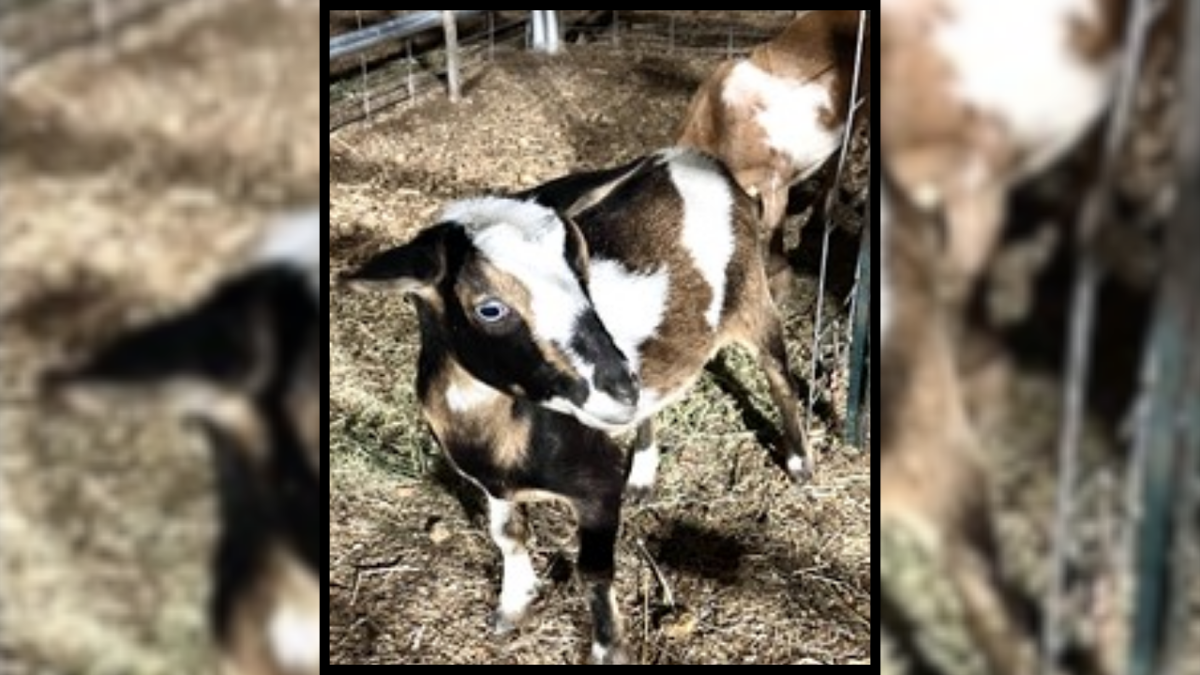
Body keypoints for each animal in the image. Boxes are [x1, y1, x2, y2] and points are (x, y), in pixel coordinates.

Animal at [336, 147, 806, 662]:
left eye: (583, 278)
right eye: (490, 308)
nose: (619, 387)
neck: (494, 436)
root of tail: (693, 155)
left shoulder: (595, 485)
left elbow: (593, 572)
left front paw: (607, 648)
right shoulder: (491, 483)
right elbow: (507, 535)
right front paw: (513, 606)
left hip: (752, 295)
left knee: (780, 376)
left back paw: (799, 464)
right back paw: (642, 477)